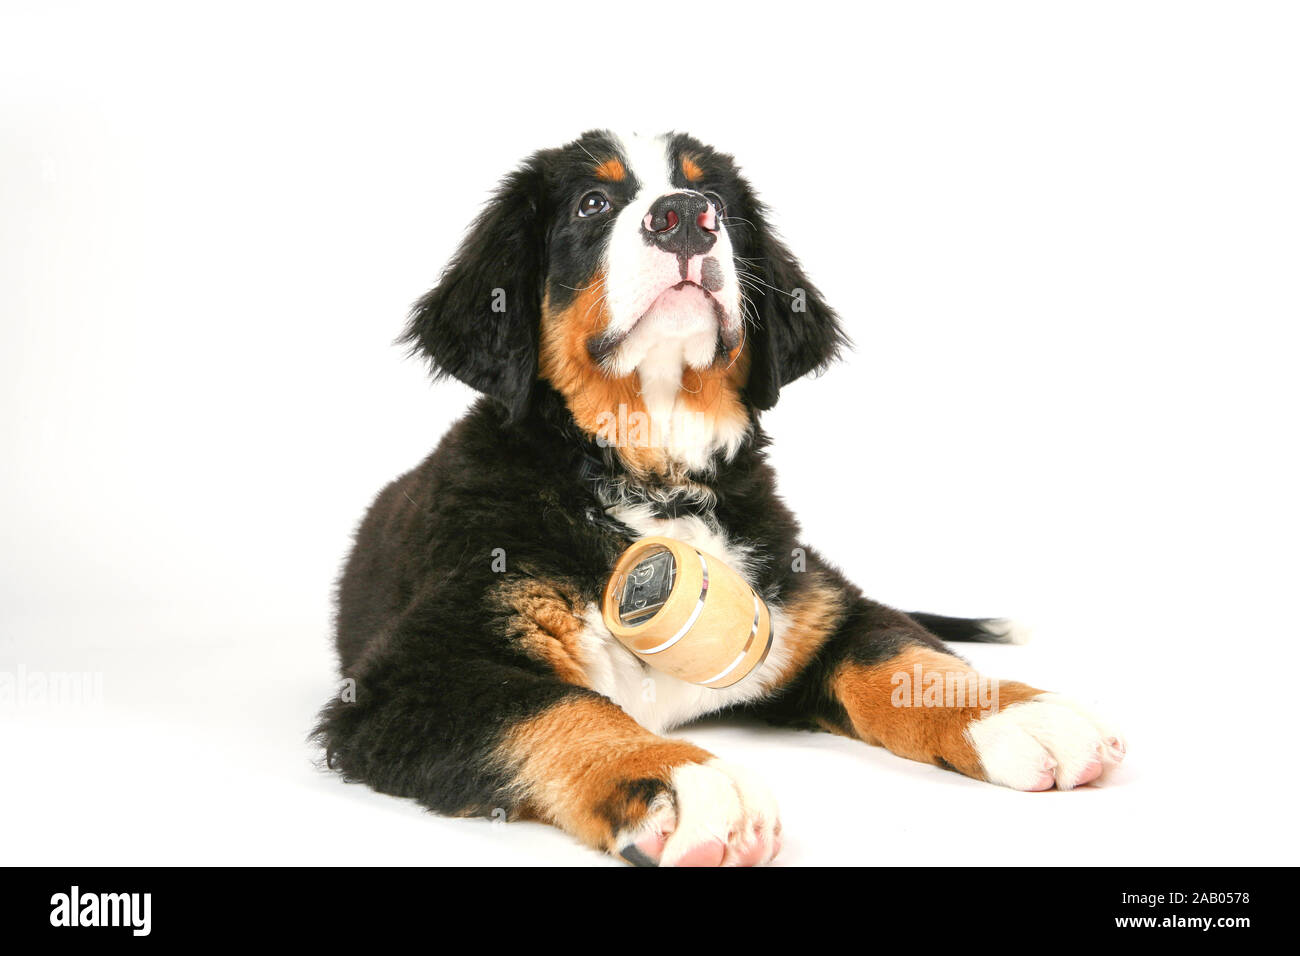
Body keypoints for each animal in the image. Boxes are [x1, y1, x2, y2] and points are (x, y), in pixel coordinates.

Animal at [309, 128, 1123, 868]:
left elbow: (899, 654)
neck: (655, 476)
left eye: (720, 207)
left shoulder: (809, 599)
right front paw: (678, 780)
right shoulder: (408, 678)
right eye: (592, 203)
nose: (684, 217)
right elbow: (554, 706)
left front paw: (1017, 714)